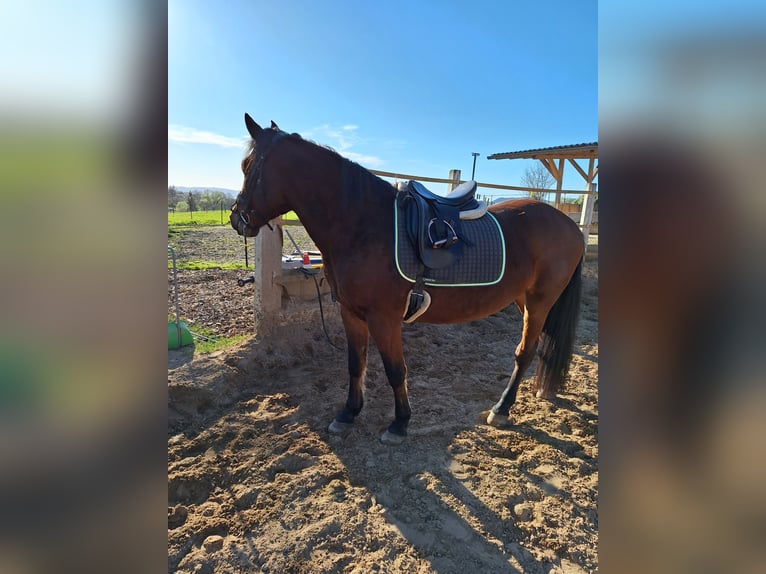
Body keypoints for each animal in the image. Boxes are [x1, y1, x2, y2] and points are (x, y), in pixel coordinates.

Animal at [231, 114, 584, 444]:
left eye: (248, 166)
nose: (237, 219)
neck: (363, 224)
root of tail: (571, 226)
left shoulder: (384, 317)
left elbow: (394, 369)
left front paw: (399, 423)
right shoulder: (351, 312)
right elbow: (355, 363)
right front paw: (348, 414)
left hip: (540, 302)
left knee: (524, 351)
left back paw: (501, 409)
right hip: (523, 299)